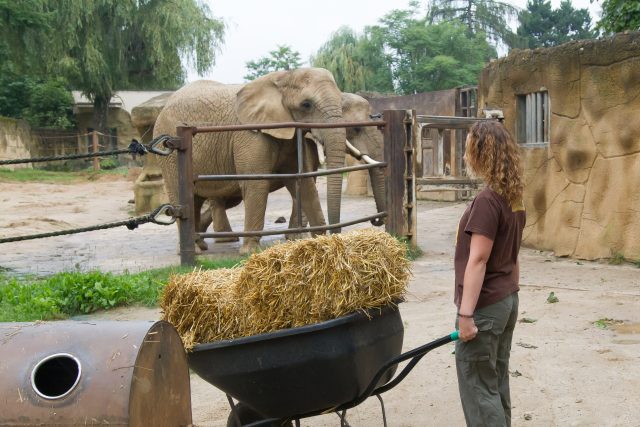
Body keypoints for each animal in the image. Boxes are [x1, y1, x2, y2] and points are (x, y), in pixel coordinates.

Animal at [152, 67, 348, 254]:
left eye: (342, 103)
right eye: (306, 104)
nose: (336, 235)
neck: (283, 77)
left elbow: (304, 183)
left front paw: (321, 241)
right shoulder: (250, 135)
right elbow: (256, 183)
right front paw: (250, 251)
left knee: (197, 198)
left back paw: (201, 245)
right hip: (169, 150)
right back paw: (195, 250)